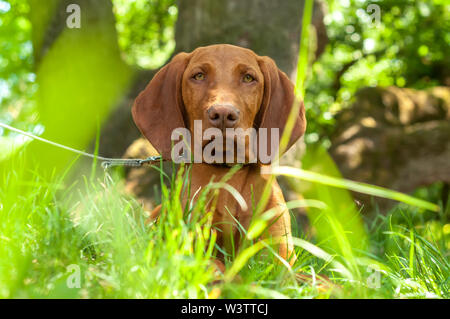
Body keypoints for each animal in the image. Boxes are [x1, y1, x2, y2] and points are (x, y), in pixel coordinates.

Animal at [130, 43, 306, 268]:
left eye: (248, 78)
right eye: (198, 76)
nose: (223, 114)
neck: (228, 175)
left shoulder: (279, 258)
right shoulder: (192, 245)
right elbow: (220, 267)